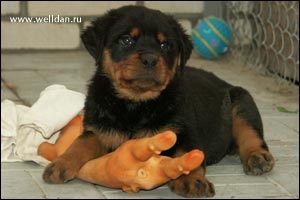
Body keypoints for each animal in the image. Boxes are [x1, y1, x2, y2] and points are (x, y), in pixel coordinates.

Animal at [43, 5, 276, 198]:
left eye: (165, 45)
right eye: (126, 40)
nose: (150, 58)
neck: (135, 104)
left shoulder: (183, 131)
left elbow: (188, 155)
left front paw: (192, 180)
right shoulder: (98, 130)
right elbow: (79, 144)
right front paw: (60, 164)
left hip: (243, 101)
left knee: (251, 134)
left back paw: (258, 158)